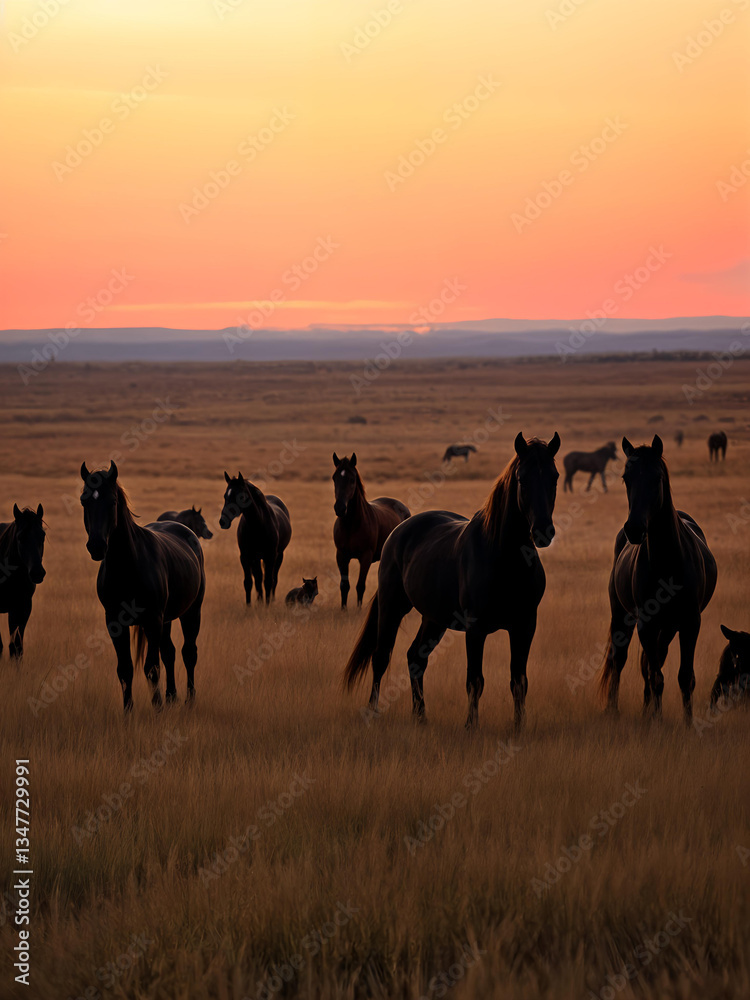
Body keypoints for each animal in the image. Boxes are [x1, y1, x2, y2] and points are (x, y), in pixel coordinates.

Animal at [80, 462, 205, 712]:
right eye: (83, 500)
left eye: (113, 501)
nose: (96, 546)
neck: (128, 566)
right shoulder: (115, 623)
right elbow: (125, 668)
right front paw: (129, 711)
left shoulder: (152, 620)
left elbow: (151, 667)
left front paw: (157, 709)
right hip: (167, 620)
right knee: (169, 652)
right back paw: (171, 696)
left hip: (191, 612)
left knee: (188, 653)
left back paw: (189, 699)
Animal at [219, 473, 291, 604]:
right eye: (225, 495)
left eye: (241, 497)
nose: (223, 521)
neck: (258, 525)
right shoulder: (245, 556)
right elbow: (249, 582)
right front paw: (250, 606)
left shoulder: (270, 556)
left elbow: (268, 581)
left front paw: (267, 605)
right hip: (256, 558)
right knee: (258, 578)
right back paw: (259, 601)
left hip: (279, 556)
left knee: (274, 578)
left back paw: (271, 600)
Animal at [332, 453, 410, 609]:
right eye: (334, 478)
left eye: (352, 479)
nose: (340, 508)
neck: (351, 525)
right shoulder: (341, 555)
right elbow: (344, 585)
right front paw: (343, 610)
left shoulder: (365, 557)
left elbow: (360, 586)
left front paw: (358, 610)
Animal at [343, 432, 561, 730]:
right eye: (522, 478)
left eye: (555, 477)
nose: (542, 532)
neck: (506, 559)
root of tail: (399, 529)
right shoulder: (476, 629)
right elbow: (475, 680)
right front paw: (471, 727)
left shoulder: (525, 626)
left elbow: (519, 681)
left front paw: (519, 728)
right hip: (392, 606)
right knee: (381, 656)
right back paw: (373, 711)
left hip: (433, 619)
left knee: (415, 658)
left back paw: (421, 716)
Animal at [598, 436, 717, 724]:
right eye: (626, 477)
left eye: (657, 478)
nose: (634, 529)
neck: (667, 562)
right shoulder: (646, 624)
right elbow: (656, 677)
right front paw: (657, 721)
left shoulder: (690, 623)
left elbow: (684, 677)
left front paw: (687, 724)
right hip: (623, 617)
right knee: (620, 659)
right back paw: (615, 710)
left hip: (668, 627)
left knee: (652, 662)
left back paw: (645, 710)